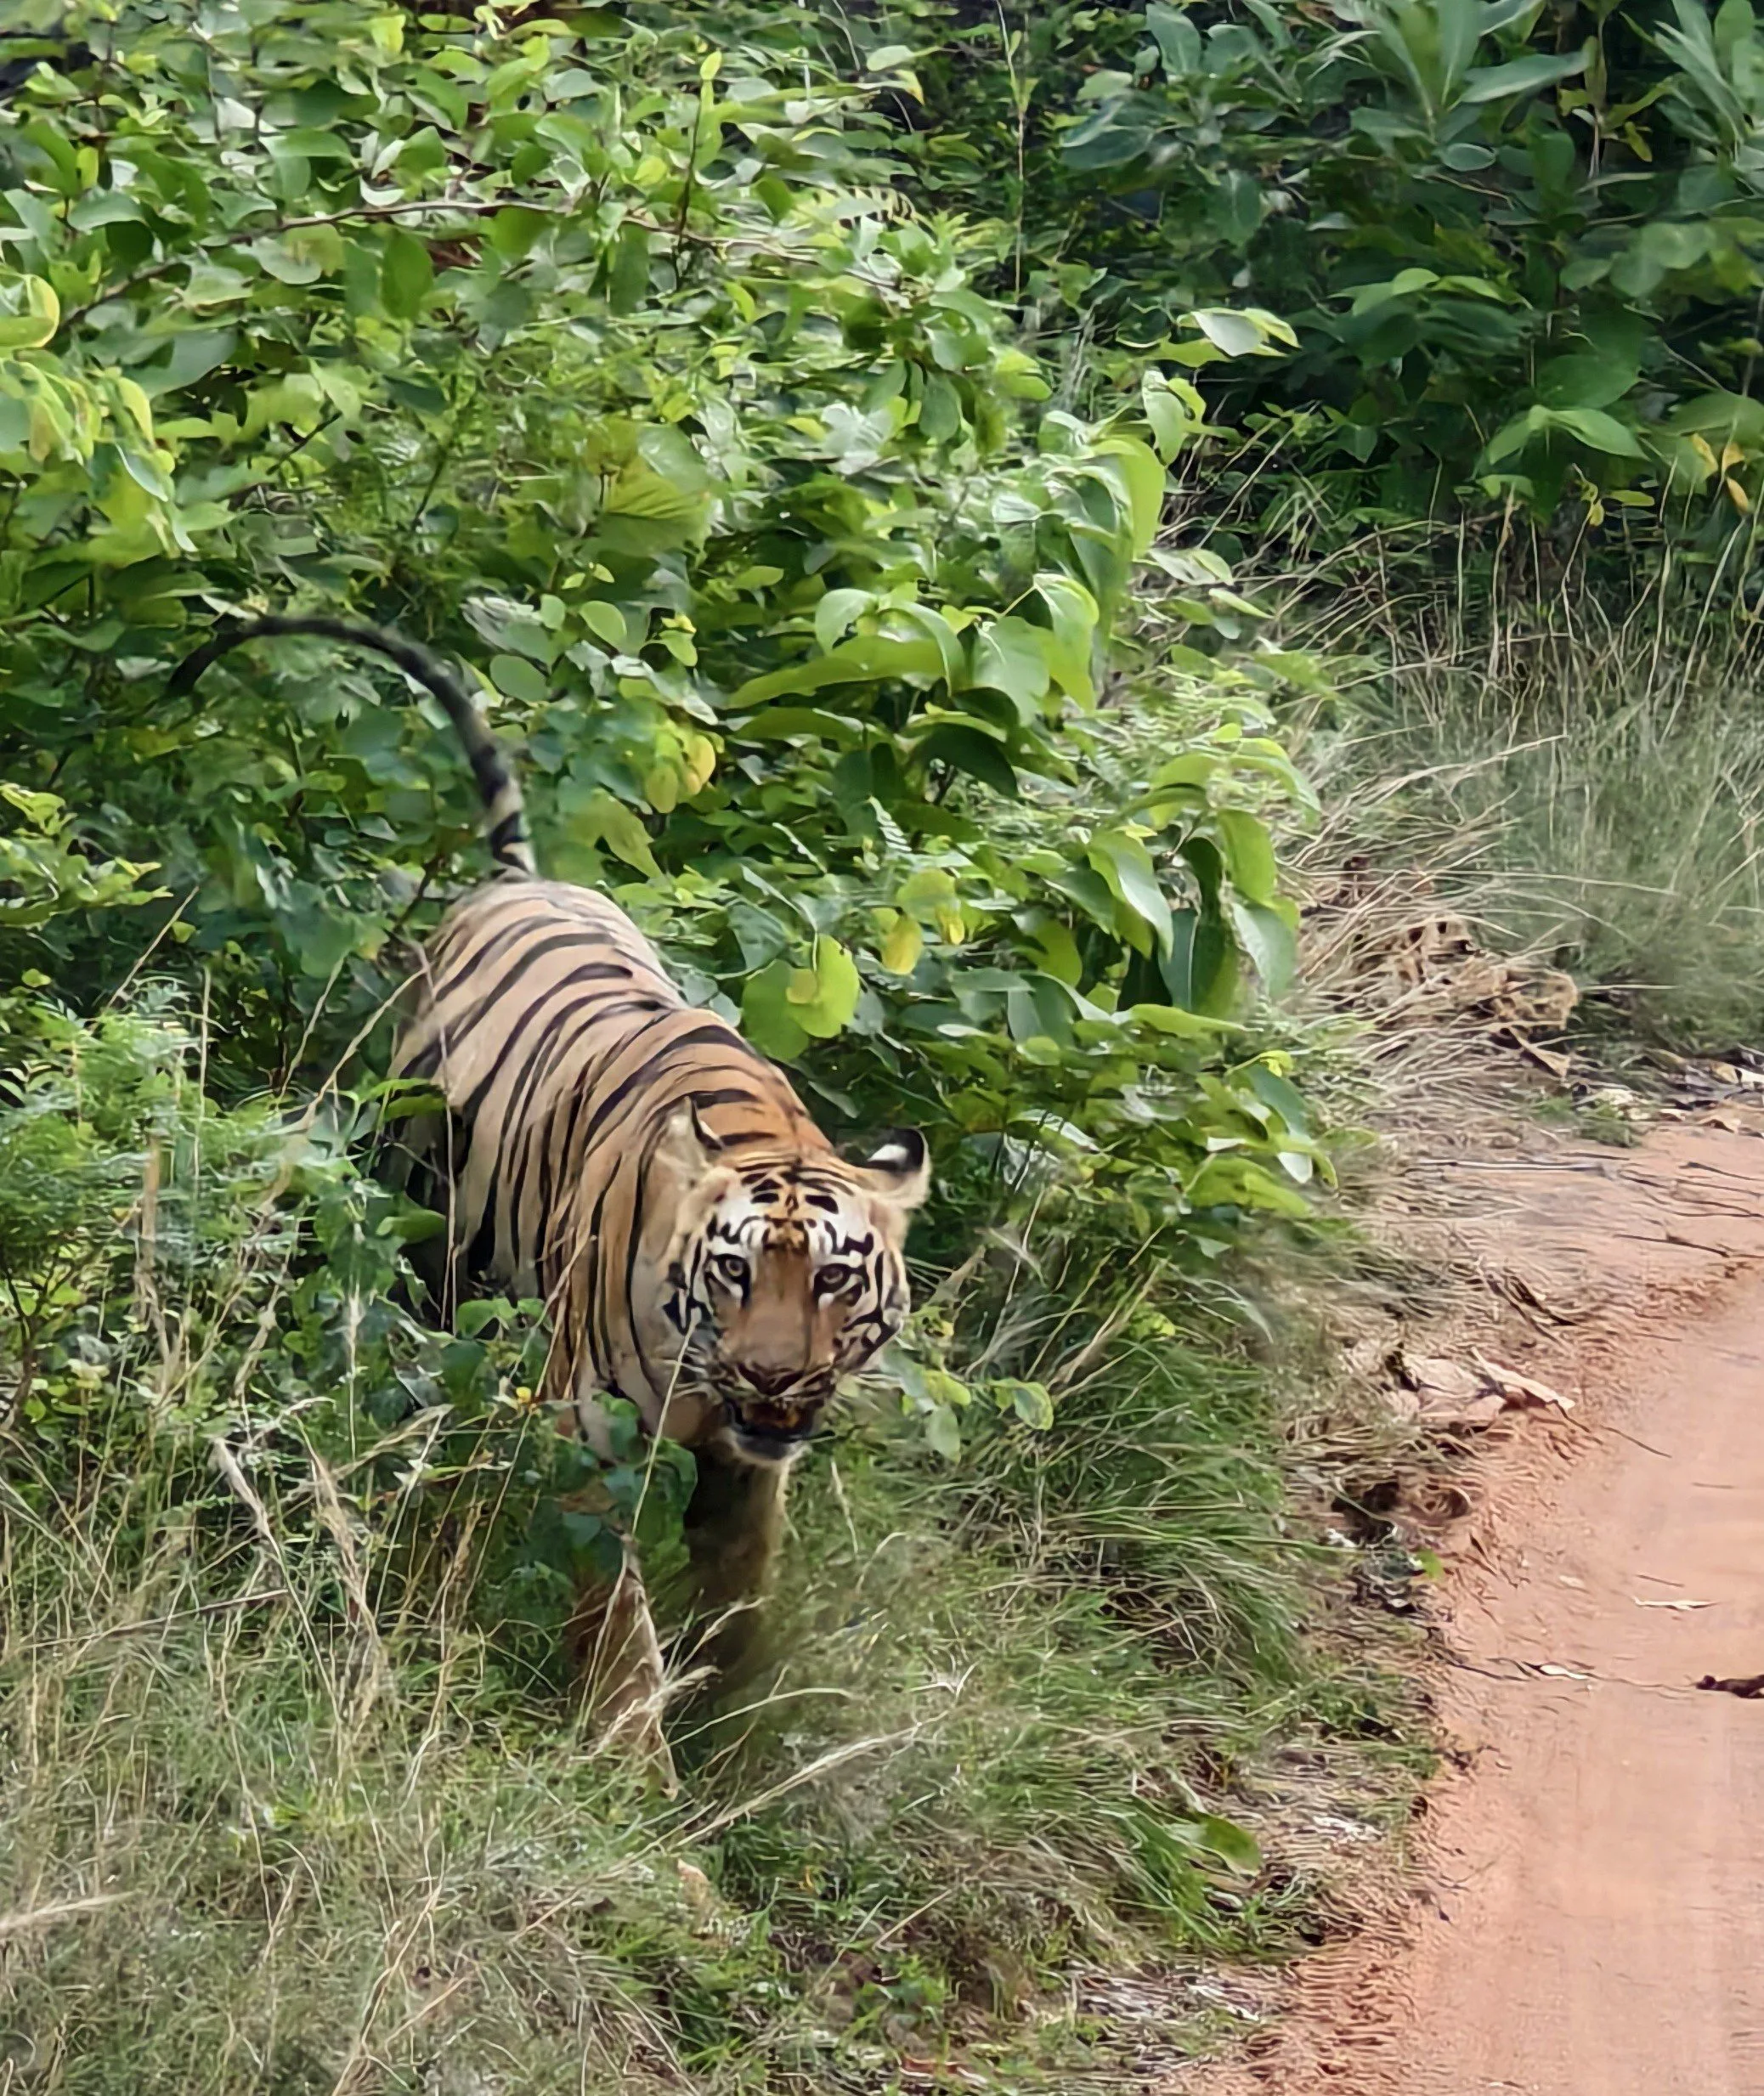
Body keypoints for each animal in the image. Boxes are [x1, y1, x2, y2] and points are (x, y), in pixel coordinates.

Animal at [169, 614, 930, 1782]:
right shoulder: (594, 1427)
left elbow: (740, 1588)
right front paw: (631, 1758)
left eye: (836, 1280)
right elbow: (618, 1612)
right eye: (734, 1268)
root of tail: (521, 879)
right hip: (425, 1227)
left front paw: (730, 1720)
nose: (772, 1374)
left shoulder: (749, 1463)